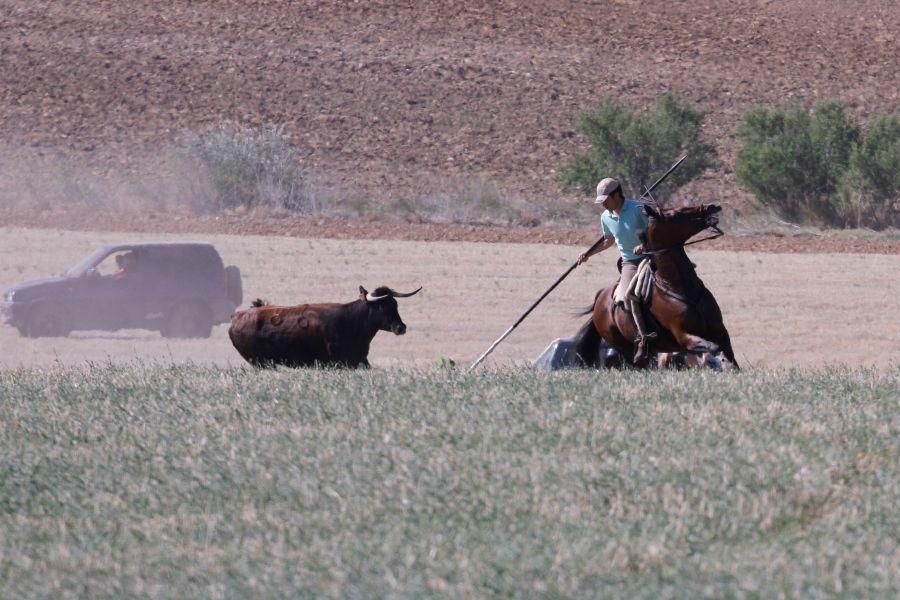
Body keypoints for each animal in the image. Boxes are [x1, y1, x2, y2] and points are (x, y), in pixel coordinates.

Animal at [227, 284, 420, 368]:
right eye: (381, 306)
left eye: (395, 304)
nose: (401, 327)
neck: (351, 320)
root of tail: (237, 317)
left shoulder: (360, 359)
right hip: (260, 363)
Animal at [576, 204, 740, 368]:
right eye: (676, 214)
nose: (712, 206)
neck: (677, 285)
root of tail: (600, 297)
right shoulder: (684, 337)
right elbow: (713, 347)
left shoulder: (720, 330)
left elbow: (728, 351)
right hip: (624, 347)